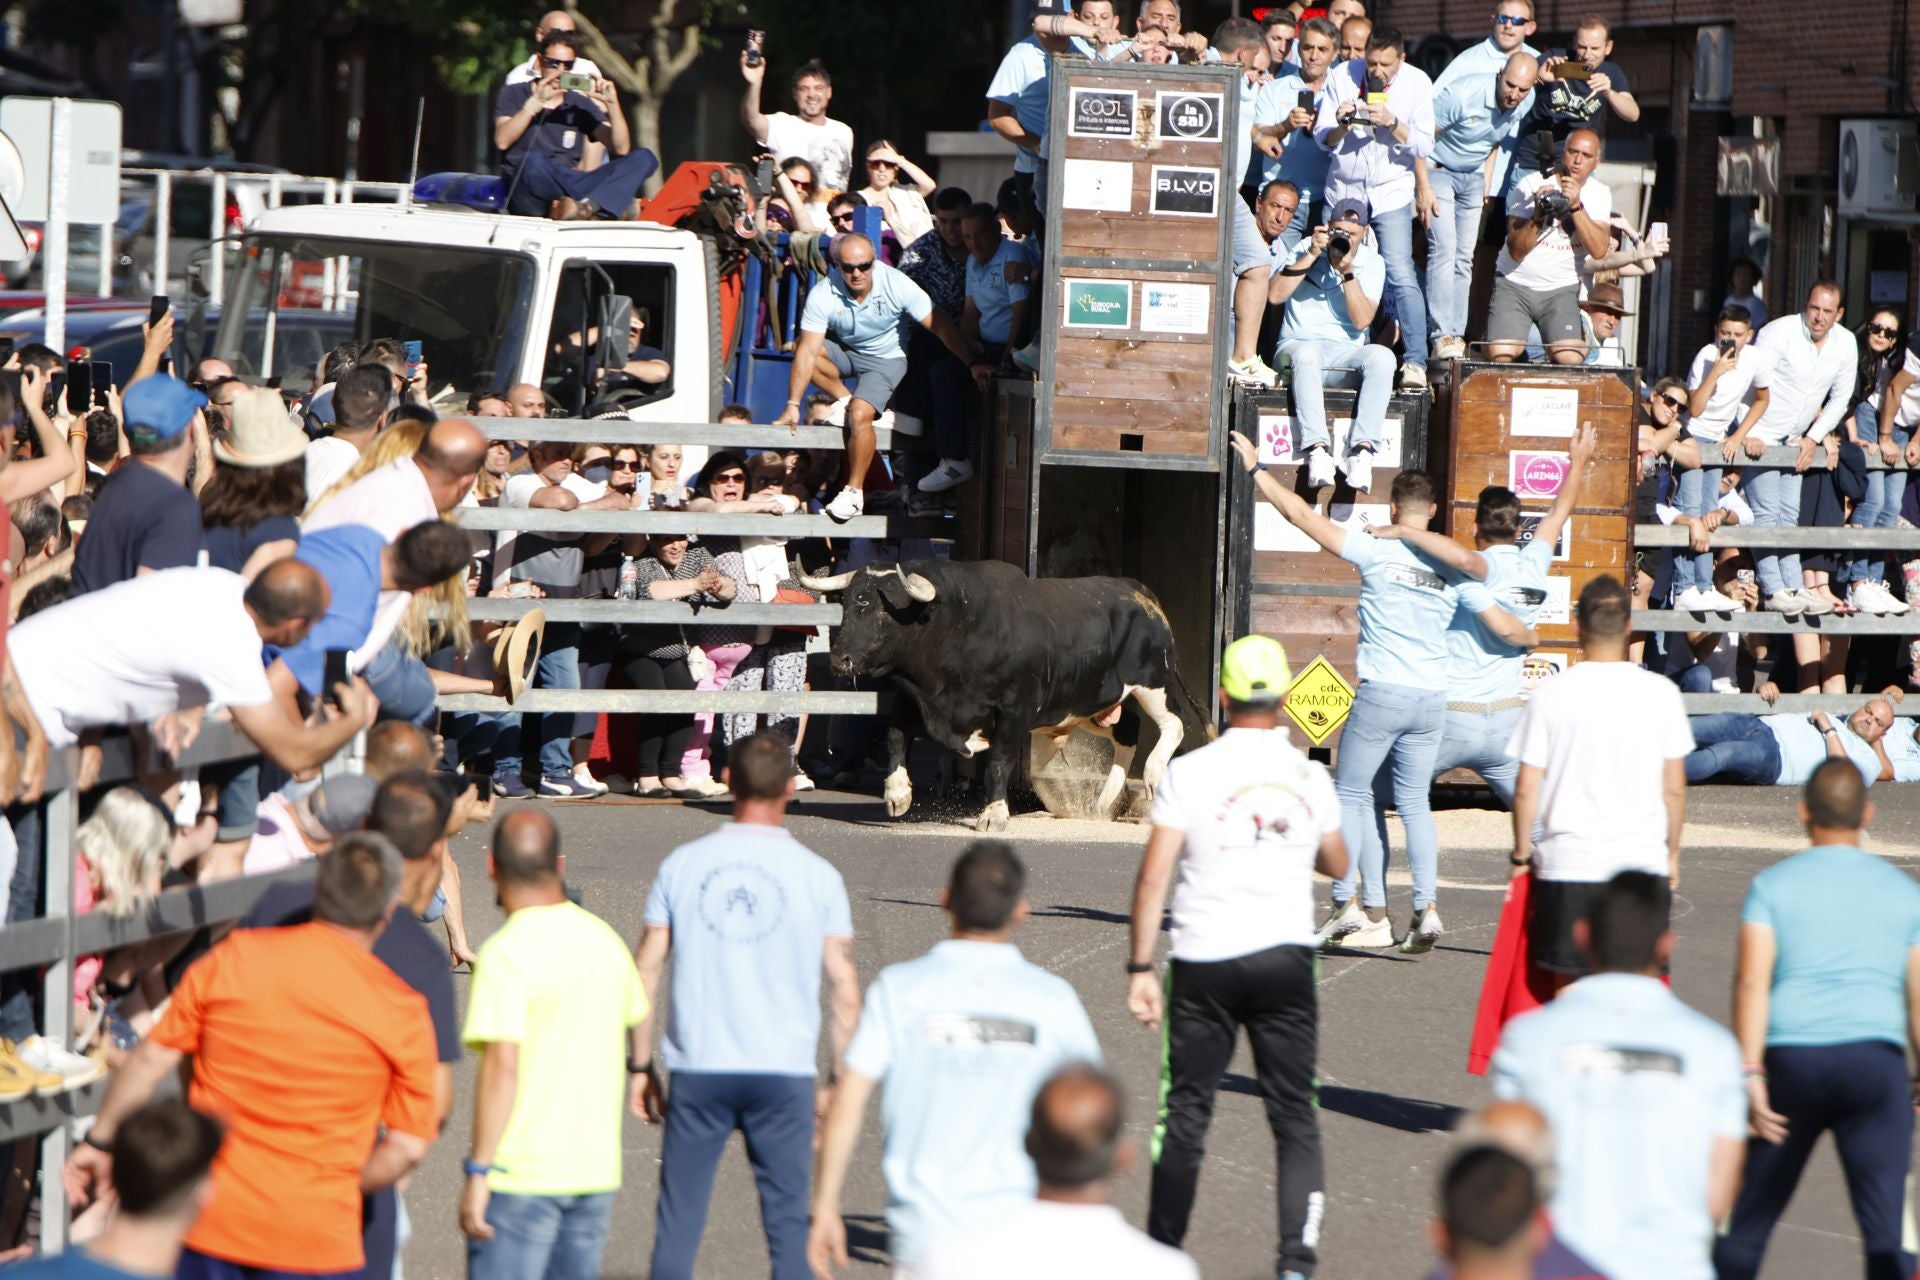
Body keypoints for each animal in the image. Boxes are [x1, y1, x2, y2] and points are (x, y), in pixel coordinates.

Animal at [802, 560, 1205, 832]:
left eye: (884, 609)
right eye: (848, 603)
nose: (840, 659)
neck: (959, 625)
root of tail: (1137, 591)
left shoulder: (1014, 712)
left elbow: (998, 761)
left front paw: (993, 814)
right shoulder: (914, 698)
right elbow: (896, 736)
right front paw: (897, 794)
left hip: (1152, 684)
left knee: (1174, 725)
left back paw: (1152, 775)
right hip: (1090, 705)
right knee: (1128, 730)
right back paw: (1104, 802)